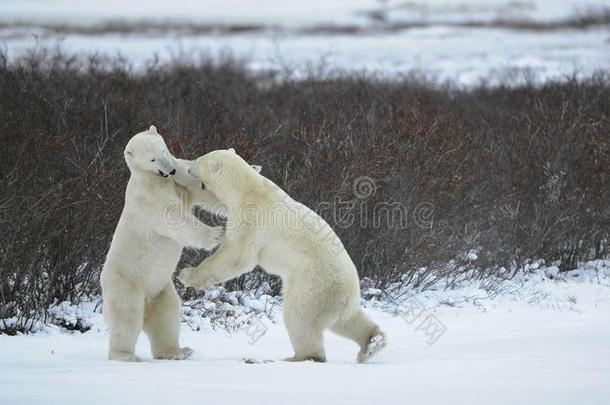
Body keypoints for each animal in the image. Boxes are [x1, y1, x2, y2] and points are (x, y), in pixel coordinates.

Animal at [100, 125, 223, 360]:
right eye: (152, 159)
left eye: (164, 150)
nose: (171, 170)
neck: (153, 178)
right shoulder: (147, 198)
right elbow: (174, 218)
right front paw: (216, 235)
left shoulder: (177, 185)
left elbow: (198, 191)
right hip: (125, 284)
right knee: (127, 317)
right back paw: (125, 355)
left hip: (160, 289)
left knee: (168, 314)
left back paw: (177, 351)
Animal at [178, 148, 384, 362]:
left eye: (198, 160)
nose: (189, 168)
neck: (247, 187)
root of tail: (349, 291)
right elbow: (218, 208)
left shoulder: (251, 218)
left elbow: (237, 256)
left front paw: (186, 275)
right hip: (339, 301)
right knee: (347, 321)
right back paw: (371, 344)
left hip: (312, 285)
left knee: (299, 317)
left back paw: (298, 357)